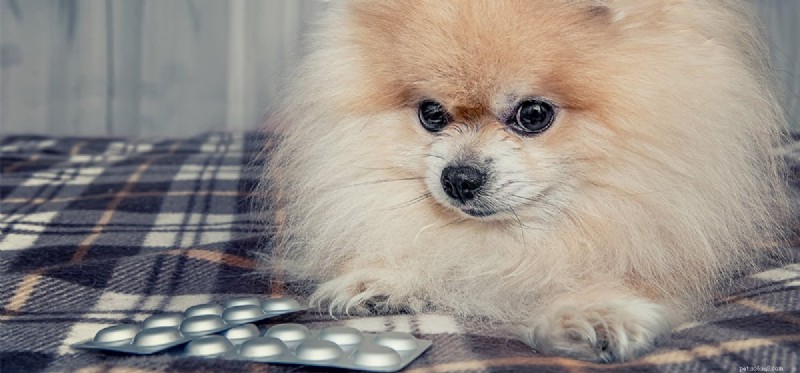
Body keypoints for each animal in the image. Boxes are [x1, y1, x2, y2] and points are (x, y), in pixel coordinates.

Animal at [260, 0, 792, 362]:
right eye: (431, 114)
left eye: (533, 115)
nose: (459, 178)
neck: (517, 241)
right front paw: (383, 278)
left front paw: (595, 312)